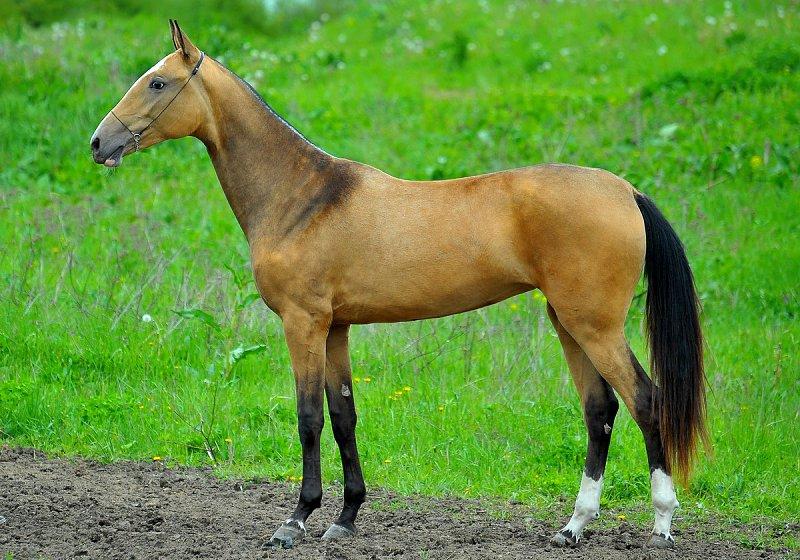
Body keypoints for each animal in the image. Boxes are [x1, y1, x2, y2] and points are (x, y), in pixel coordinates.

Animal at [90, 21, 707, 550]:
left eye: (158, 82)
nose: (100, 143)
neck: (304, 197)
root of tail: (625, 191)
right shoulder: (335, 328)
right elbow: (344, 418)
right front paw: (344, 518)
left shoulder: (303, 323)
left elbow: (309, 419)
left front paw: (296, 519)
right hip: (568, 322)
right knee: (599, 410)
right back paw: (574, 526)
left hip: (594, 325)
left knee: (646, 401)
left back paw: (661, 523)